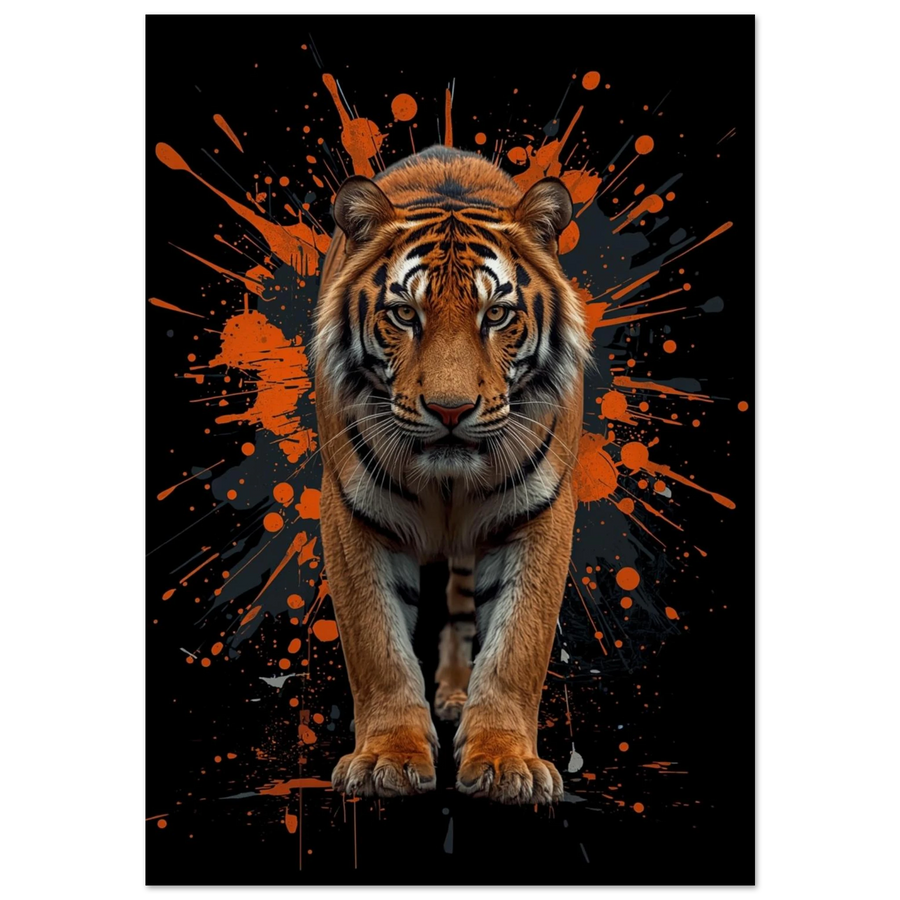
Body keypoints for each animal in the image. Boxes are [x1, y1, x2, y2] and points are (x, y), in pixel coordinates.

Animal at [313, 145, 590, 805]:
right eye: (403, 314)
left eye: (498, 315)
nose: (449, 409)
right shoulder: (350, 512)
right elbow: (376, 643)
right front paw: (386, 760)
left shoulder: (542, 511)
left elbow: (517, 645)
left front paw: (505, 763)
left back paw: (460, 698)